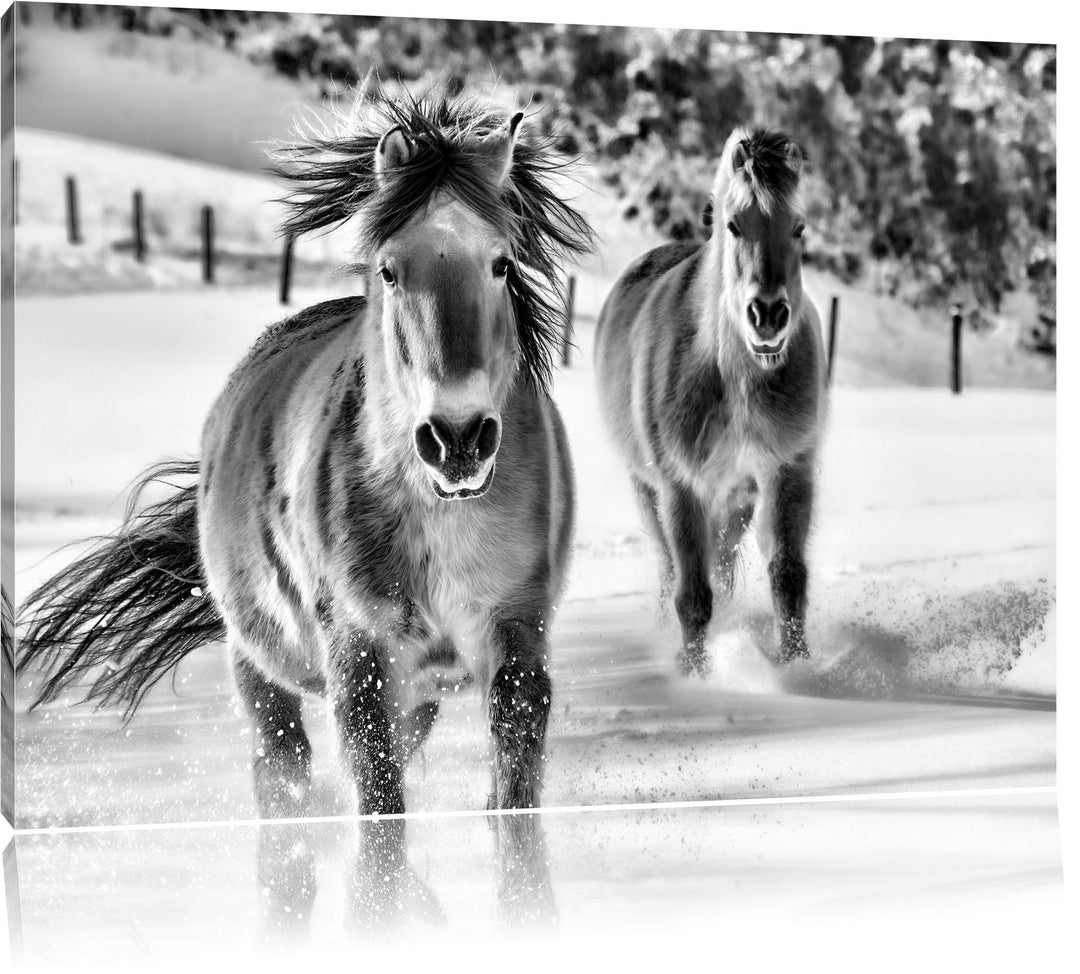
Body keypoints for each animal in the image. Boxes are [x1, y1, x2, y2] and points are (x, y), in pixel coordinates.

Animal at [18, 93, 594, 824]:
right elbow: (379, 812)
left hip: (420, 689)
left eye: (501, 264)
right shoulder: (362, 660)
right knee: (282, 769)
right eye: (389, 269)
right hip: (261, 665)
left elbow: (512, 802)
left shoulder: (515, 641)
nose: (458, 438)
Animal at [593, 127, 826, 674]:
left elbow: (787, 575)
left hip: (736, 498)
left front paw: (799, 667)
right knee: (668, 569)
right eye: (735, 225)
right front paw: (695, 675)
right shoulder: (682, 488)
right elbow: (692, 595)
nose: (769, 315)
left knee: (720, 565)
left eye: (799, 227)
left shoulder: (787, 471)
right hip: (647, 489)